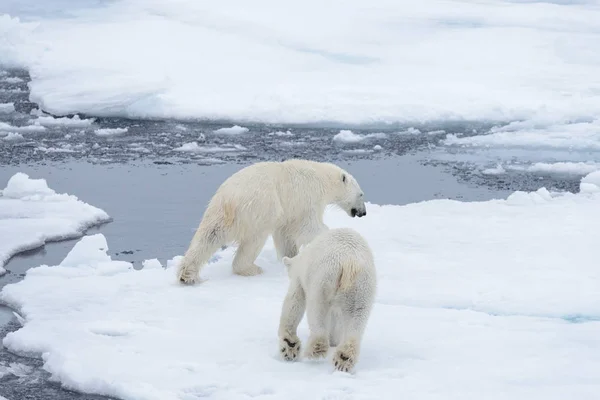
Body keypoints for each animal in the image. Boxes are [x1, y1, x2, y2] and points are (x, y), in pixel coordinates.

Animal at [176, 159, 368, 284]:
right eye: (361, 194)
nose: (363, 212)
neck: (322, 177)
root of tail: (229, 201)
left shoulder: (289, 212)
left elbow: (285, 235)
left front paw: (291, 257)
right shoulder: (307, 199)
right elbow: (308, 227)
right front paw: (329, 236)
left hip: (216, 212)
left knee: (207, 238)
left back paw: (187, 275)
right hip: (260, 208)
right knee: (254, 240)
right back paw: (251, 269)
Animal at [276, 227, 376, 374]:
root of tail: (349, 262)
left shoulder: (300, 278)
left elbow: (294, 302)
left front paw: (289, 346)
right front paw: (334, 339)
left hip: (323, 279)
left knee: (317, 311)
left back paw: (314, 350)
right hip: (362, 288)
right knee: (357, 318)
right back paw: (343, 359)